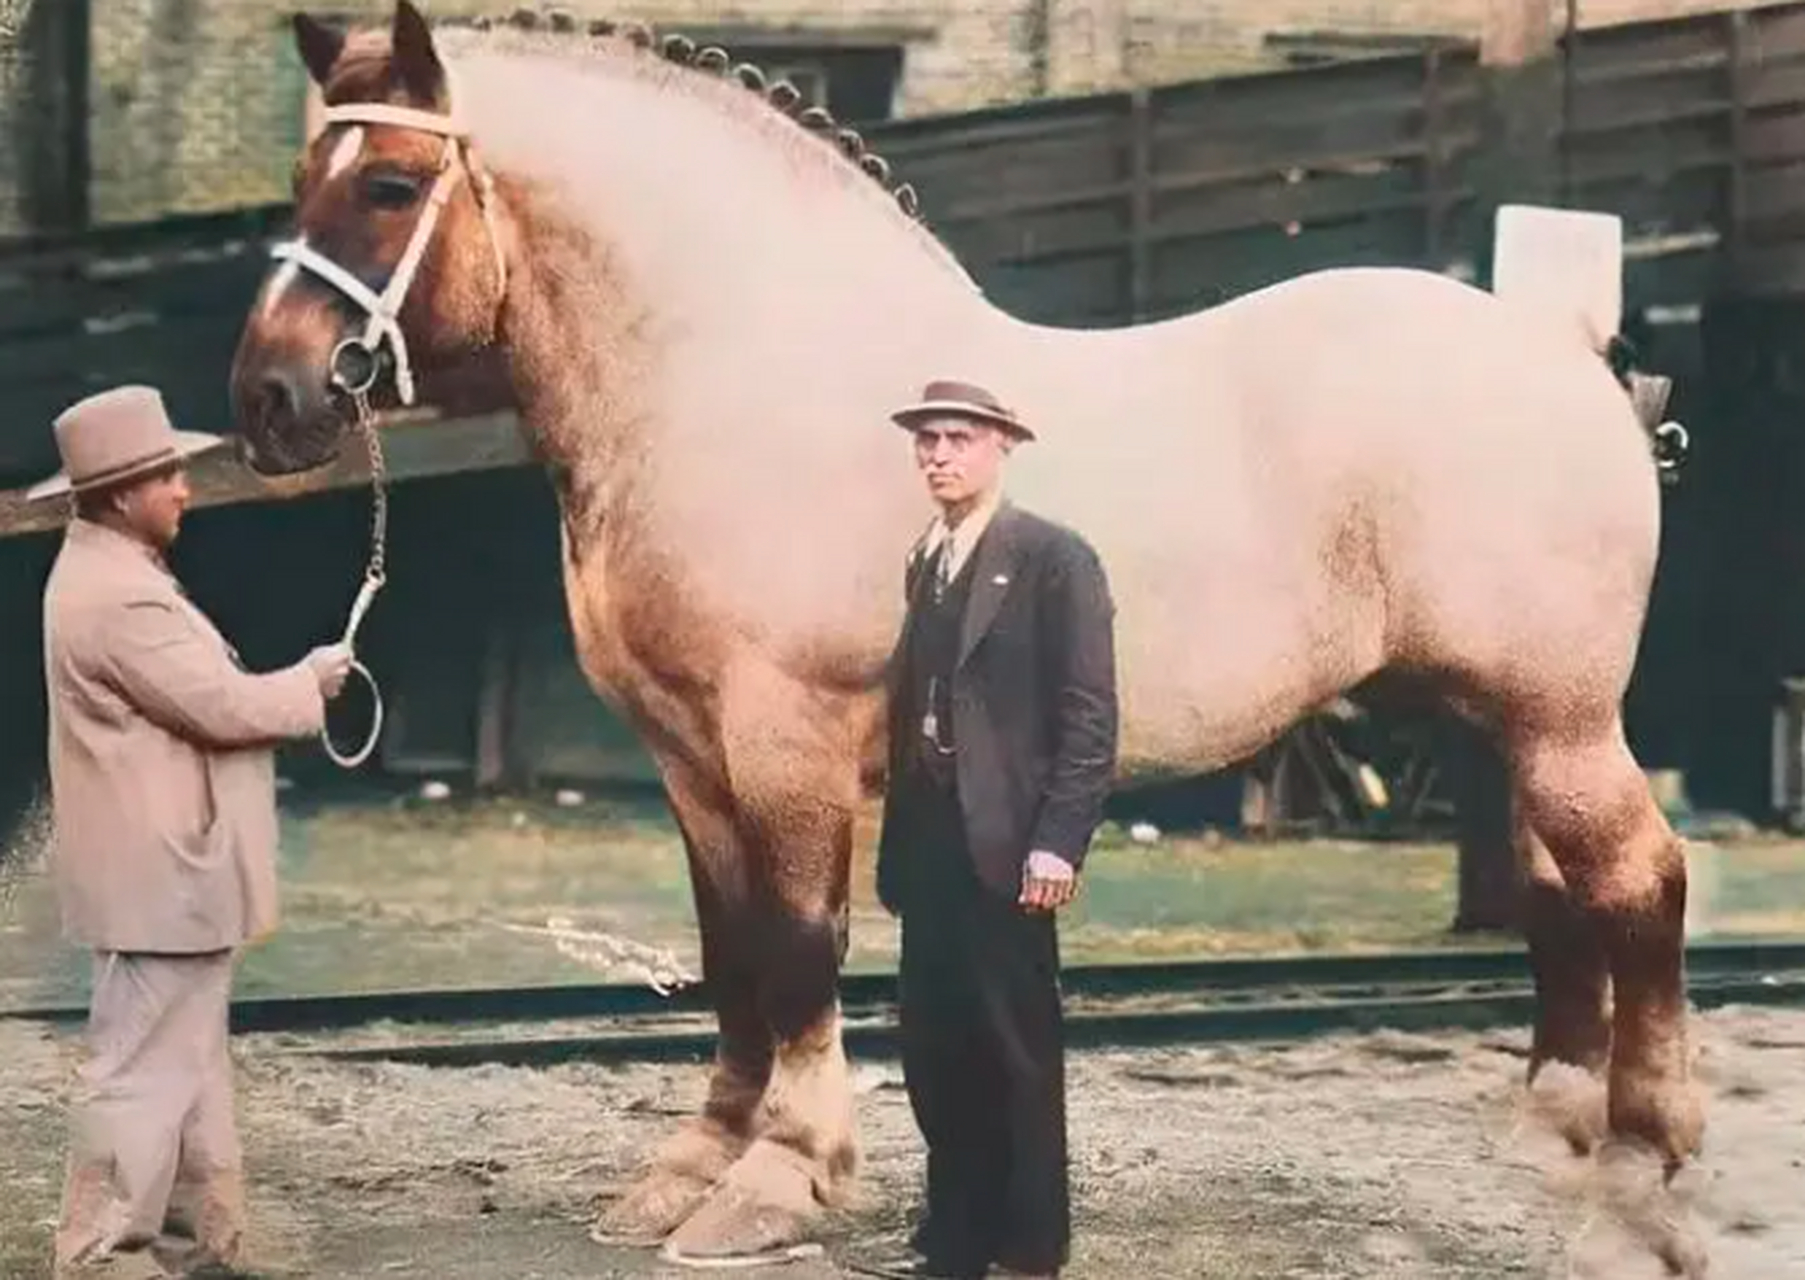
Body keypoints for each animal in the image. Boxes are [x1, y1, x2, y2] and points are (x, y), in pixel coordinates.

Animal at [225, 4, 1703, 1270]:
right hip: (1498, 723)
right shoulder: (690, 759)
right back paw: (1551, 1132)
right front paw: (692, 1167)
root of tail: (1574, 357)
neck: (737, 374)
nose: (271, 397)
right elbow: (728, 953)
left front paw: (779, 1179)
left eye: (389, 185)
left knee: (1640, 882)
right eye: (302, 174)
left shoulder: (783, 743)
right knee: (1559, 893)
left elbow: (796, 950)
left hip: (1558, 720)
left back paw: (1646, 1157)